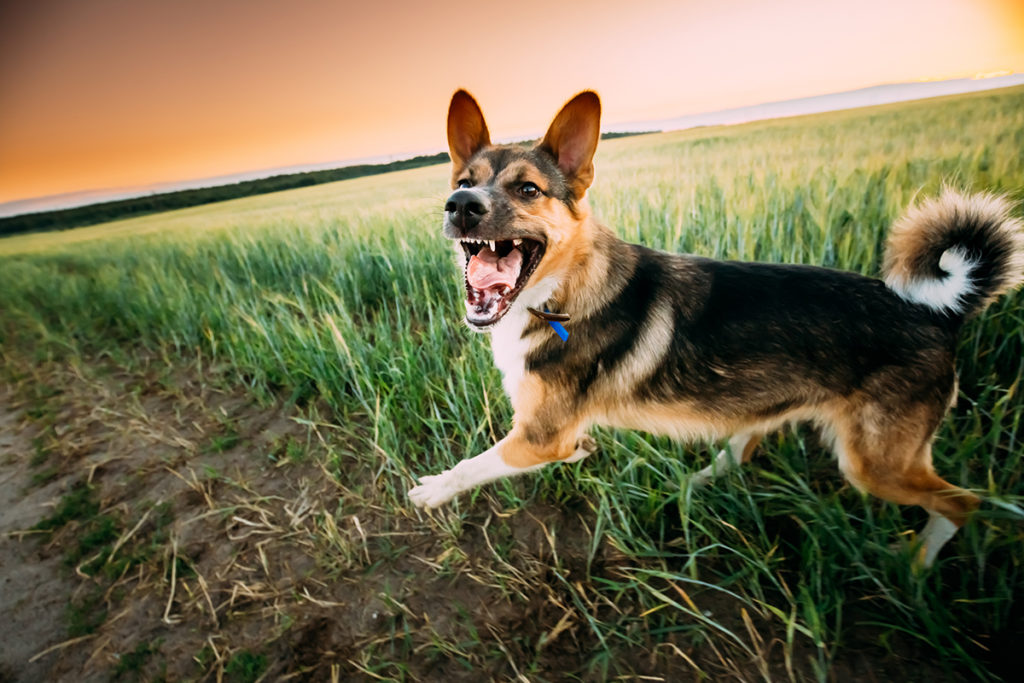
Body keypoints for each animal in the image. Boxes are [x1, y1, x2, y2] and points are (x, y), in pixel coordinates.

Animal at [407, 92, 1024, 573]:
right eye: (463, 182)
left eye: (529, 190)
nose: (460, 205)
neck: (559, 293)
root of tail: (938, 314)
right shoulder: (553, 438)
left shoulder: (539, 437)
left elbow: (473, 466)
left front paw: (435, 488)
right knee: (744, 445)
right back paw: (698, 481)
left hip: (875, 462)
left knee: (963, 503)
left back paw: (917, 566)